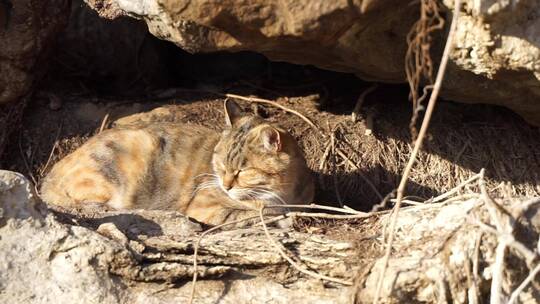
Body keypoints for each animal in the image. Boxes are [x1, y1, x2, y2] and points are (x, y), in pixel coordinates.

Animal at [40, 99, 314, 223]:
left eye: (243, 171)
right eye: (221, 165)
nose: (226, 186)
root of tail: (46, 180)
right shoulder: (205, 206)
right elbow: (243, 215)